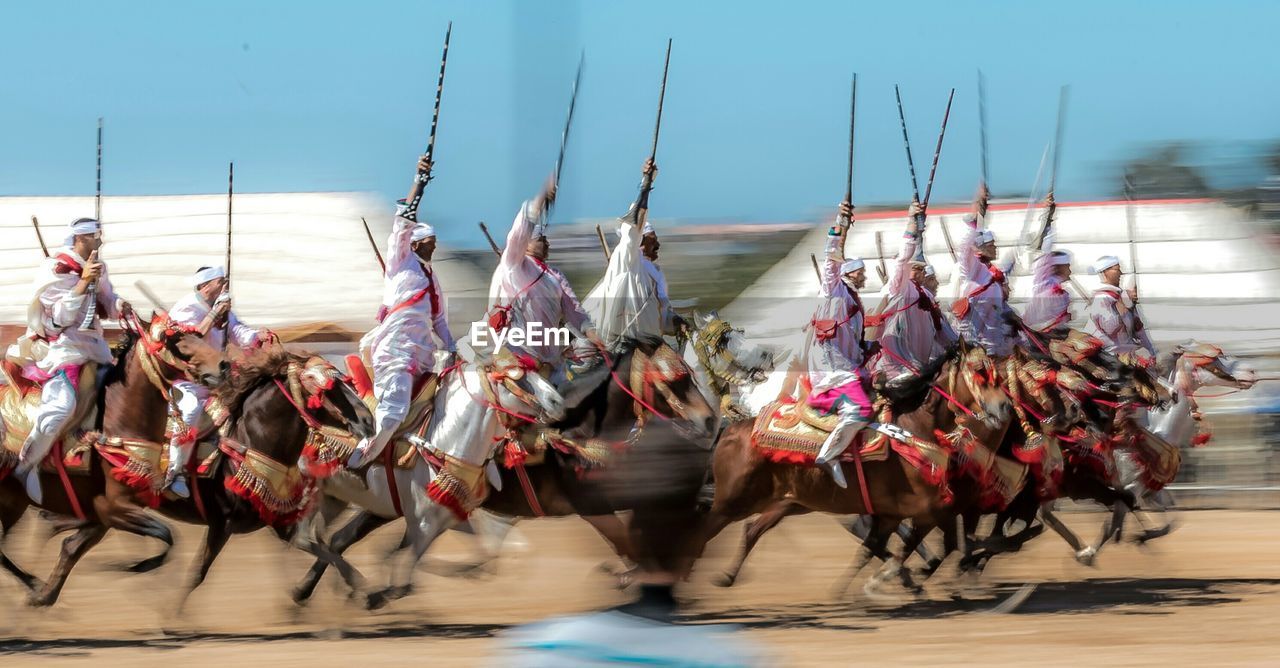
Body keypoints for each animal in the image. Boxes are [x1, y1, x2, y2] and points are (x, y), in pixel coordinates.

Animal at [317, 350, 563, 606]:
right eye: (515, 375)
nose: (557, 402)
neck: (445, 441)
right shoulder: (424, 523)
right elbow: (401, 575)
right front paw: (376, 593)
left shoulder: (449, 517)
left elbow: (482, 556)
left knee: (334, 538)